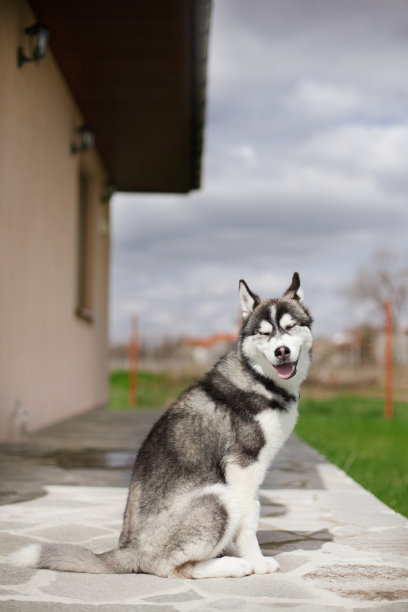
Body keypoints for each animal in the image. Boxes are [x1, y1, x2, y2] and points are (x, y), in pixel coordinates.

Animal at [13, 272, 312, 580]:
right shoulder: (243, 466)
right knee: (174, 568)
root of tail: (129, 549)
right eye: (264, 333)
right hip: (218, 497)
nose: (281, 351)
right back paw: (231, 565)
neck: (259, 378)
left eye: (290, 327)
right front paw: (256, 560)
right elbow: (249, 520)